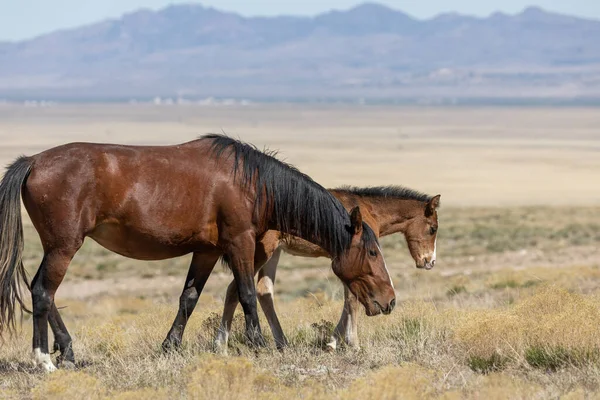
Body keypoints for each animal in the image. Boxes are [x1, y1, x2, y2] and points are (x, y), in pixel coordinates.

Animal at [0, 135, 398, 372]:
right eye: (372, 252)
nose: (390, 300)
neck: (253, 182)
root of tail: (33, 160)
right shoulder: (239, 242)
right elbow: (247, 293)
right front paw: (258, 344)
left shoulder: (206, 252)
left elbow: (189, 298)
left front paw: (169, 347)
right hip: (64, 247)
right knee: (43, 291)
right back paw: (44, 358)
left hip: (59, 247)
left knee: (44, 293)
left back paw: (67, 351)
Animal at [209, 185, 438, 350]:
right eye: (433, 228)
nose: (429, 261)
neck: (368, 209)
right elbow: (352, 300)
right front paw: (349, 343)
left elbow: (349, 299)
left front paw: (335, 341)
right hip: (262, 252)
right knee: (235, 288)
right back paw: (221, 345)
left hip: (273, 253)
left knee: (263, 291)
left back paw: (278, 343)